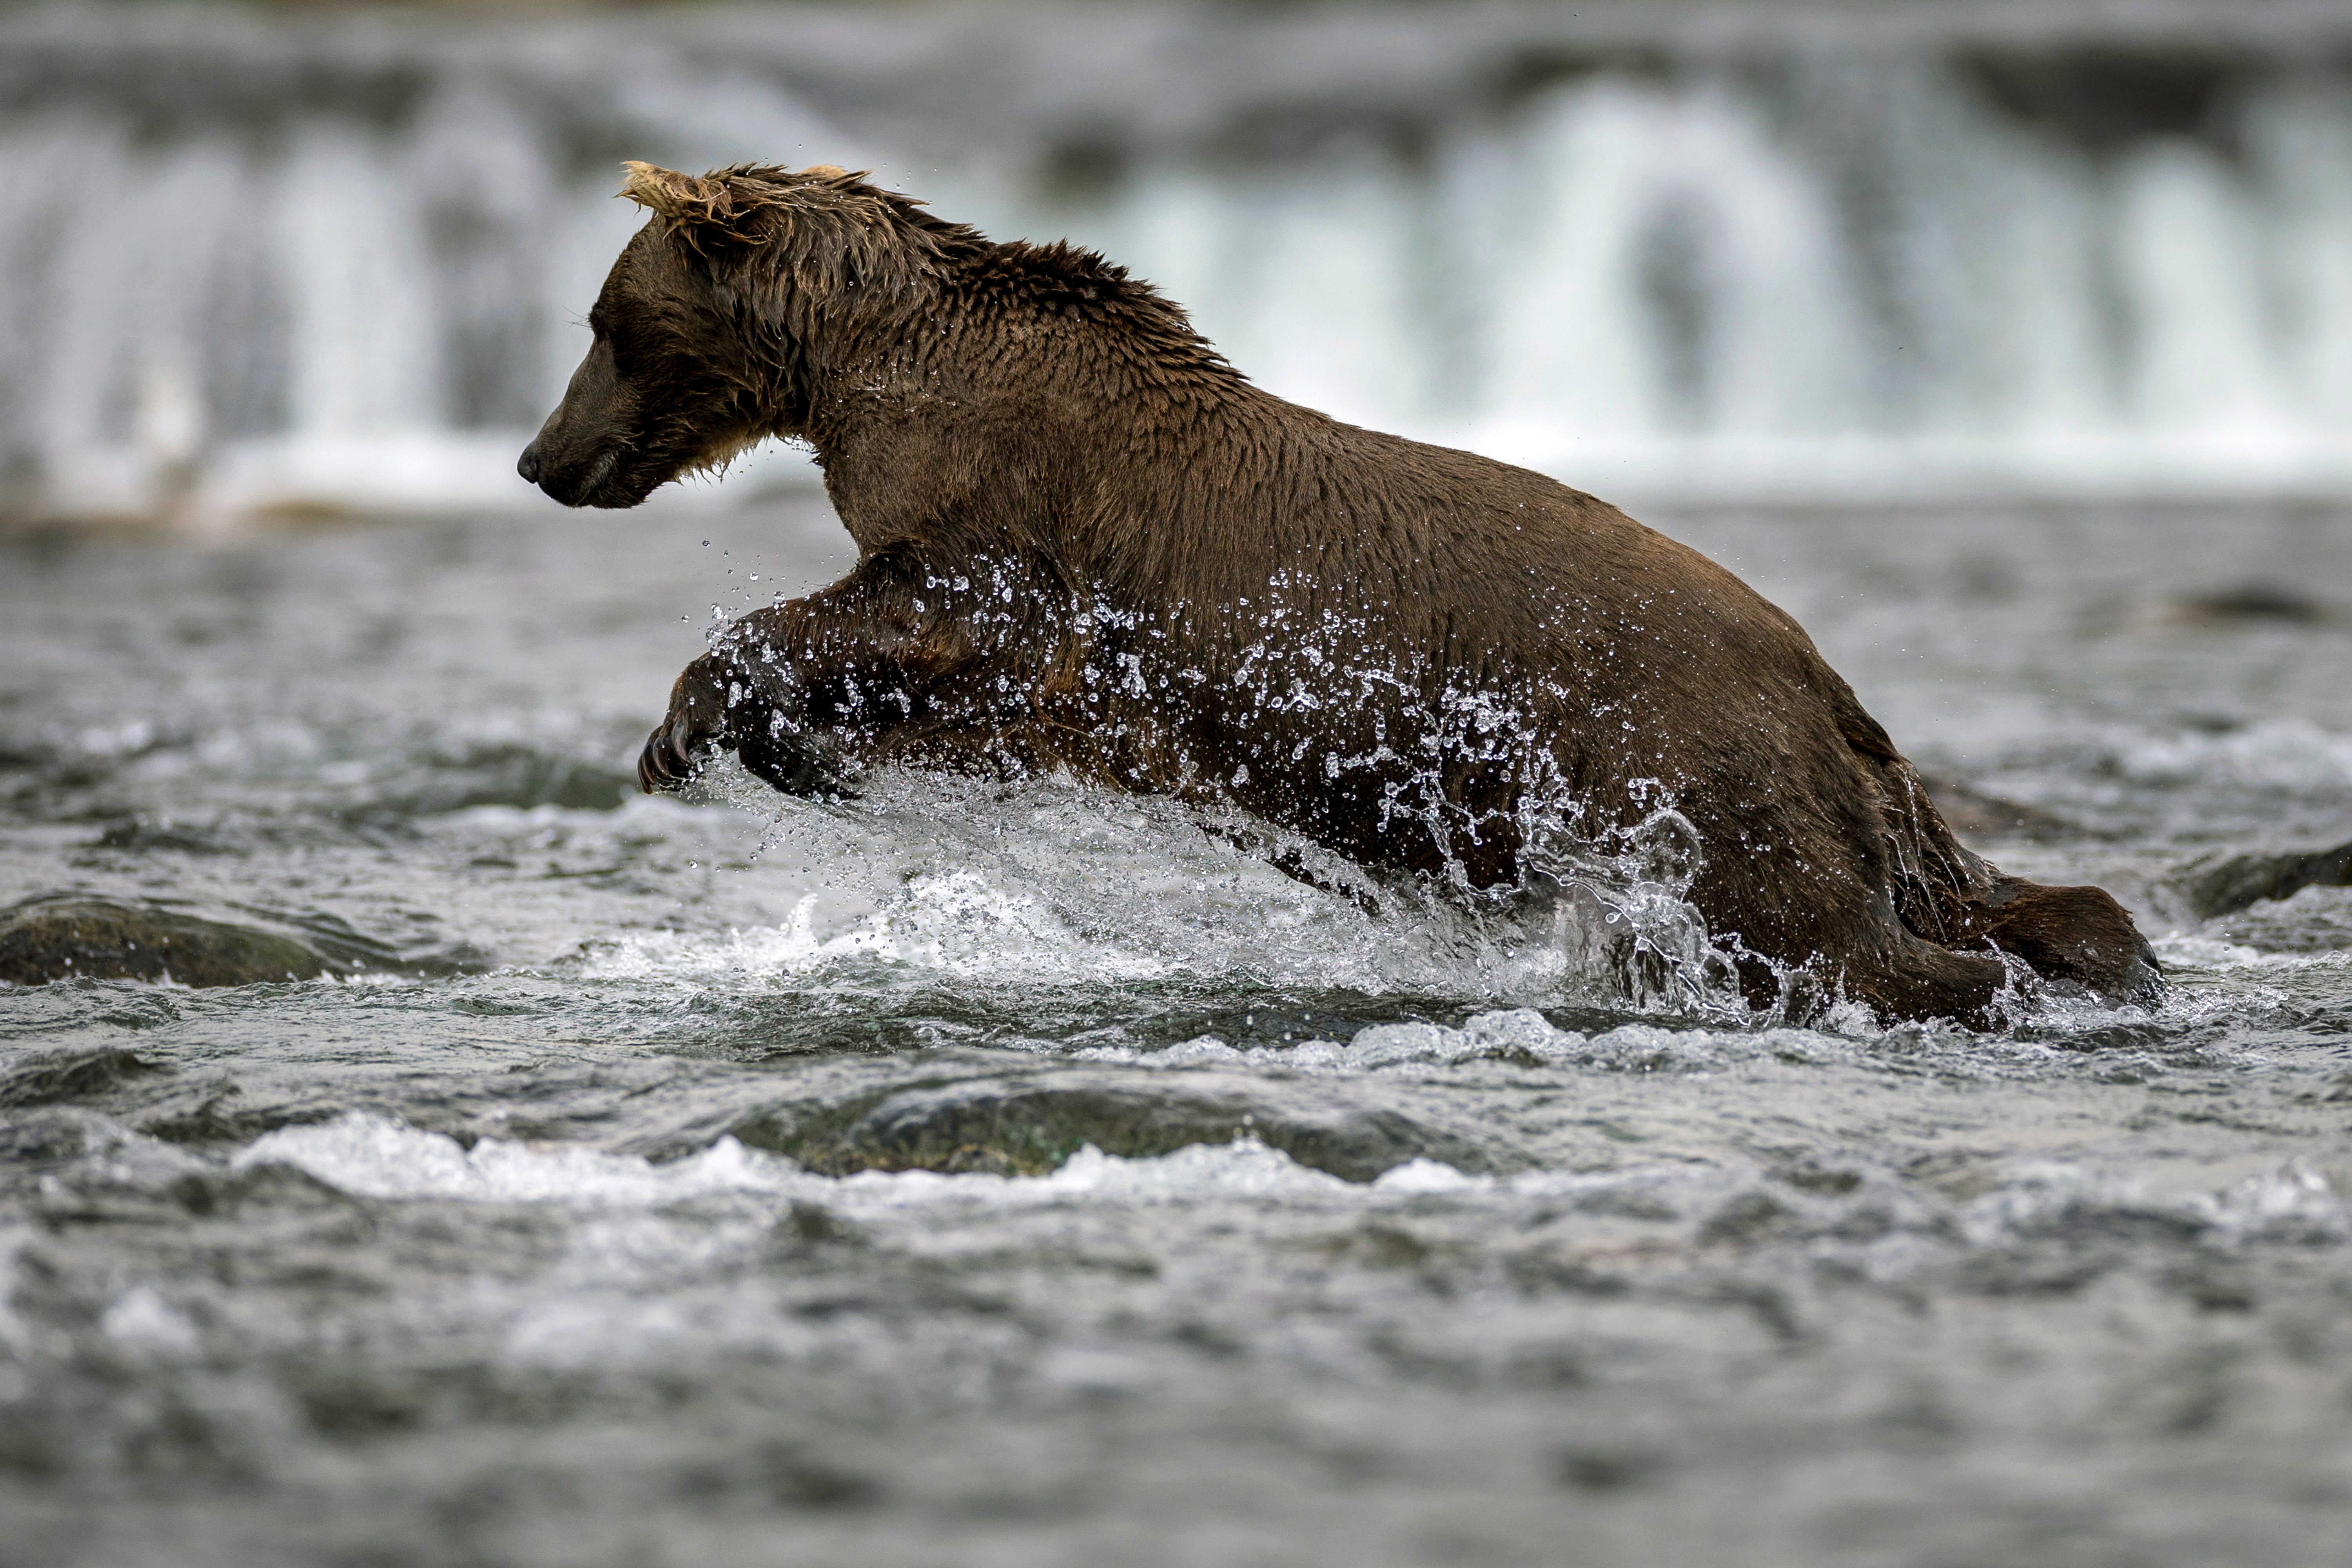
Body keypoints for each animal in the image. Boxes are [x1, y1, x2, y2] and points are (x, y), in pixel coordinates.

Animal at [518, 161, 2159, 1025]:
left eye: (603, 319)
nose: (541, 457)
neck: (861, 378)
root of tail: (1826, 676)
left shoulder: (1021, 525)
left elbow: (932, 611)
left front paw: (694, 720)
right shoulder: (1094, 684)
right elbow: (968, 705)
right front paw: (790, 749)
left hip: (1682, 757)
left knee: (1826, 929)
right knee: (1990, 894)